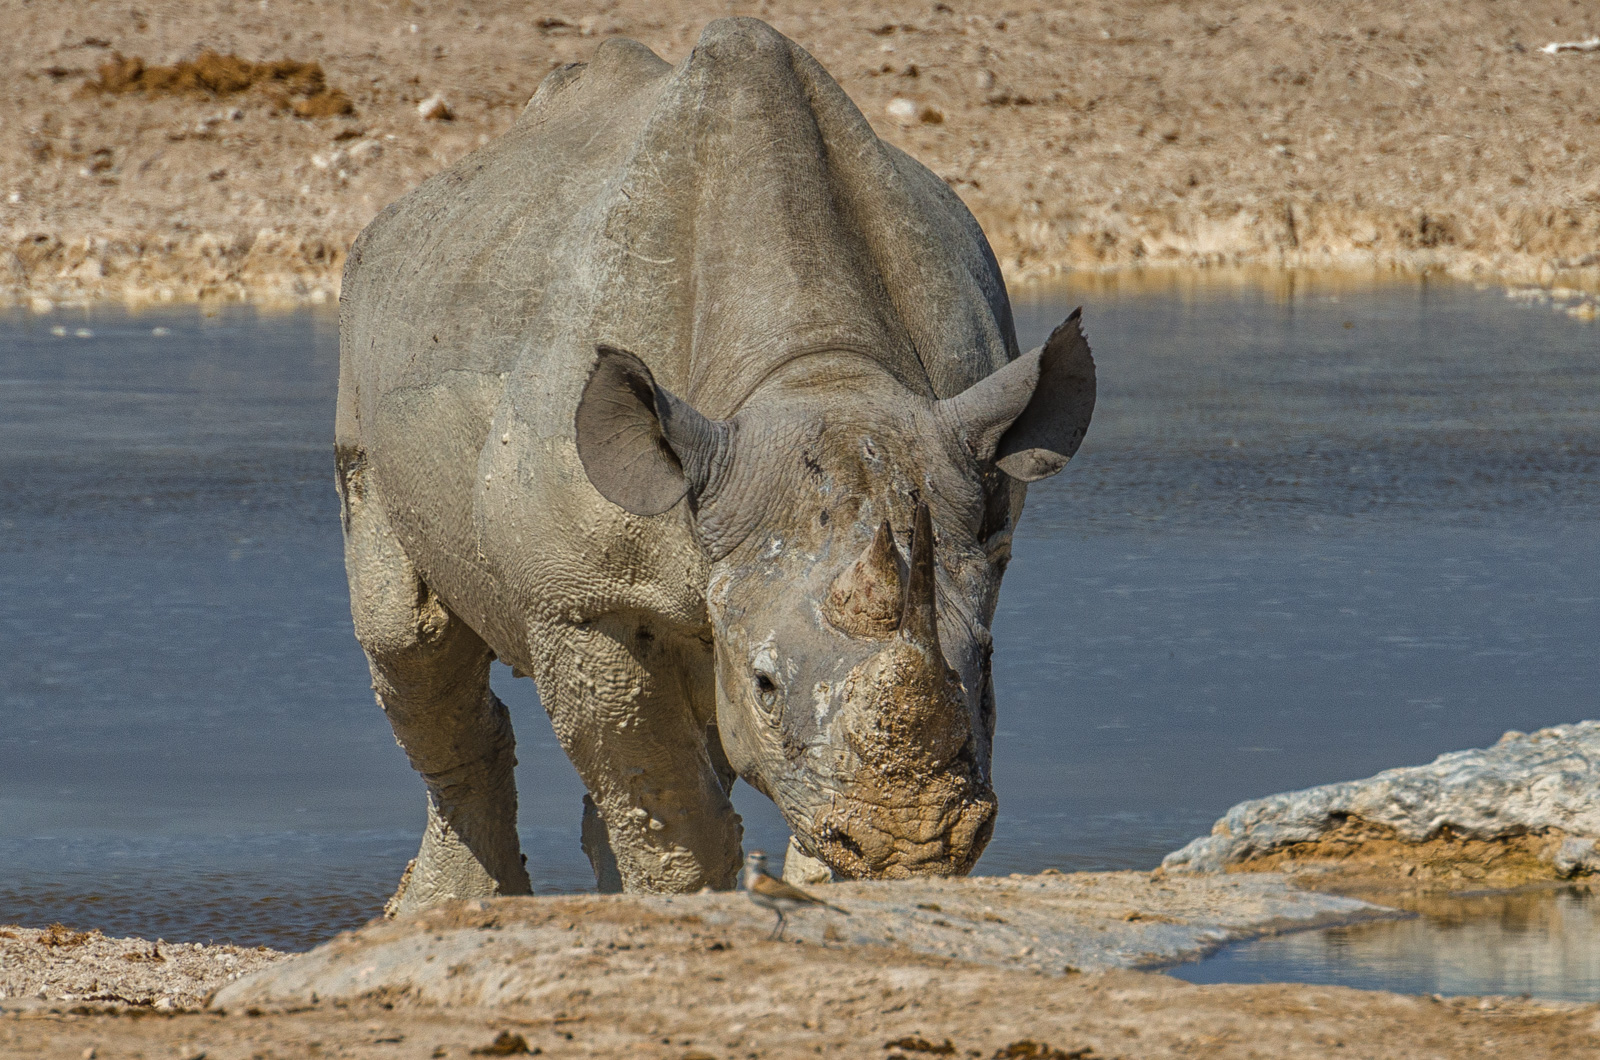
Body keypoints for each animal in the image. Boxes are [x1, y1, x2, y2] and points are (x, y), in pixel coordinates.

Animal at [335, 17, 1094, 913]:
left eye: (988, 668)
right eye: (764, 684)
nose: (913, 845)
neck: (819, 374)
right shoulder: (581, 598)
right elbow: (664, 800)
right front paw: (687, 903)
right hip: (376, 338)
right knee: (406, 636)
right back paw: (449, 908)